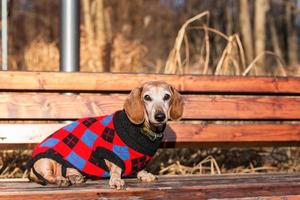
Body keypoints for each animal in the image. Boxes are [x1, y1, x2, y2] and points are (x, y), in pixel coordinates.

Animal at [28, 81, 184, 189]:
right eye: (147, 97)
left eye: (167, 96)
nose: (160, 116)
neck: (142, 130)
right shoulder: (109, 154)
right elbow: (116, 168)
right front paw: (116, 180)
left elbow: (139, 169)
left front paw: (144, 175)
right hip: (48, 160)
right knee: (51, 175)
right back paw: (61, 180)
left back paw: (75, 177)